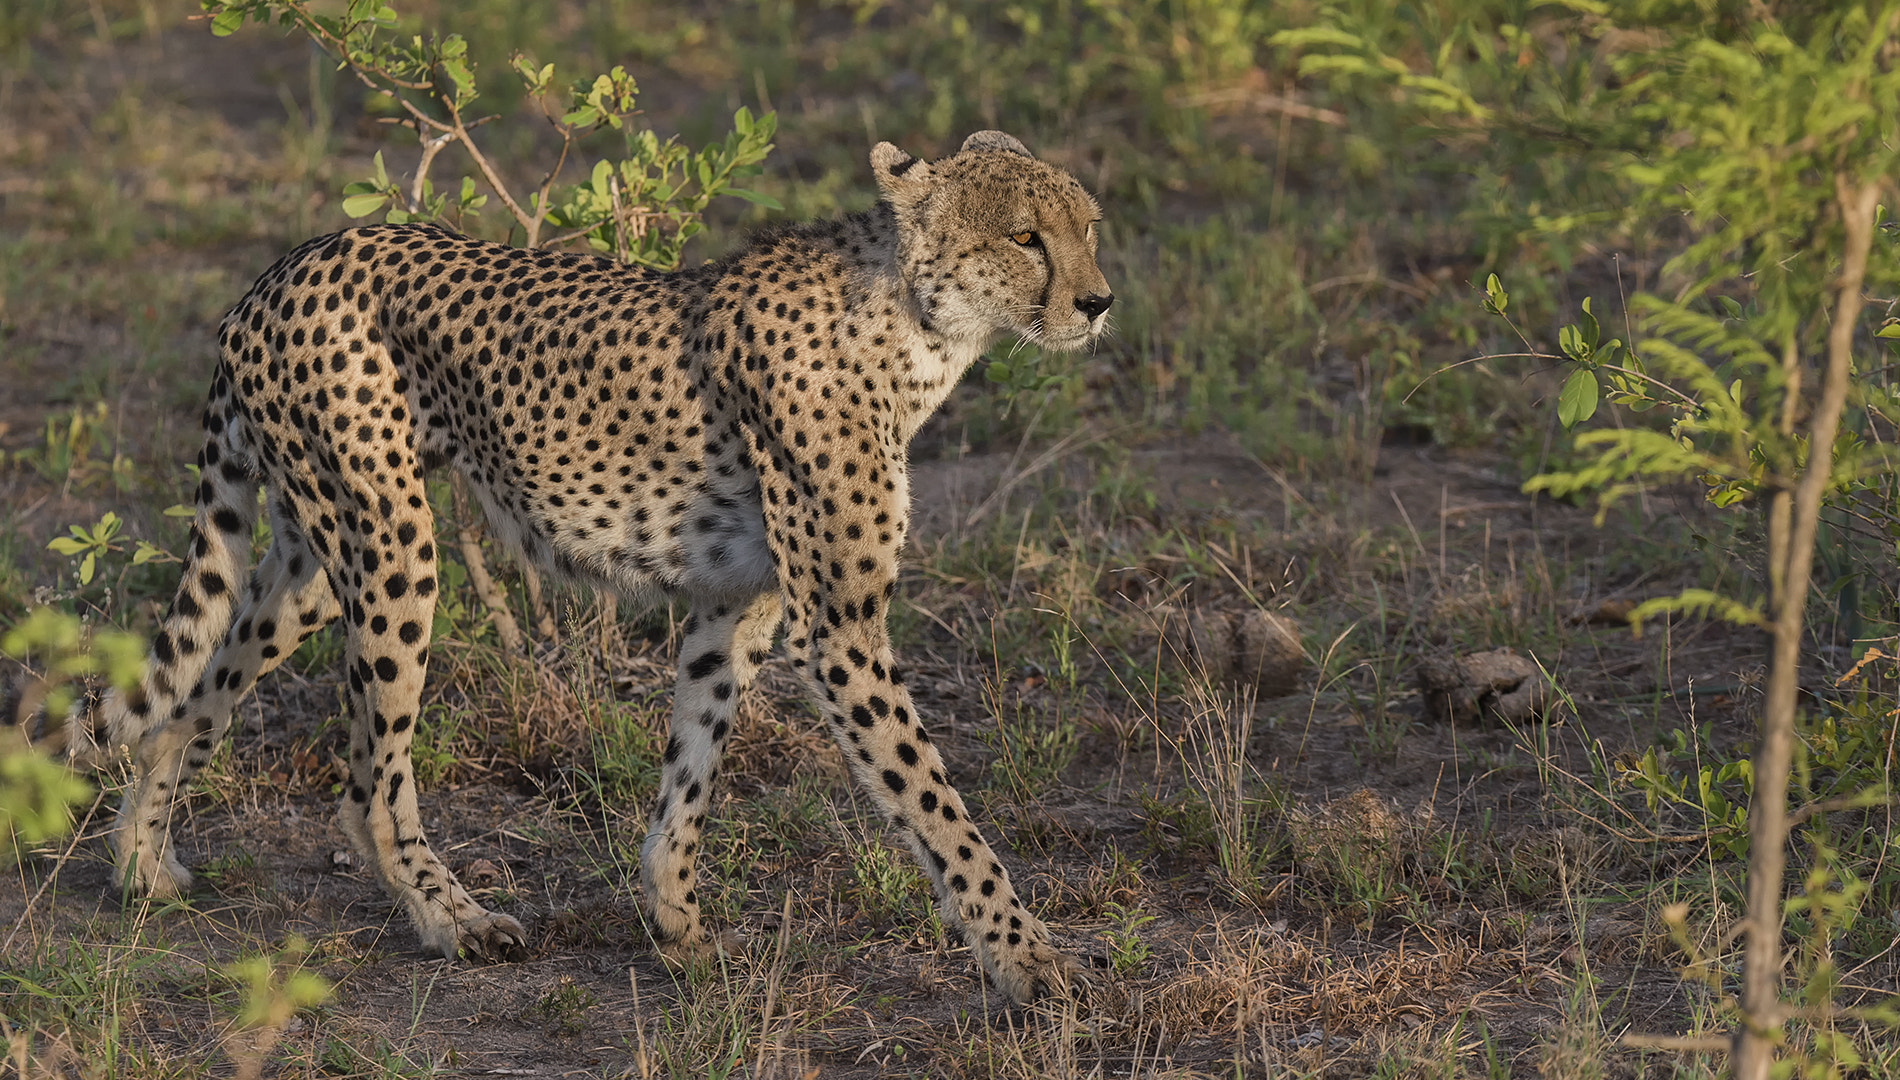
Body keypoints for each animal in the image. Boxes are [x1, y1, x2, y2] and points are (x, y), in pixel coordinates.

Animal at [94, 129, 1113, 1004]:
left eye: (1088, 226)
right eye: (1025, 236)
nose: (1098, 302)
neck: (913, 323)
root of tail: (287, 263)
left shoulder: (735, 602)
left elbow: (693, 764)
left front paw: (678, 925)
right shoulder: (838, 629)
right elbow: (935, 805)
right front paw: (1029, 961)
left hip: (315, 556)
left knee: (188, 704)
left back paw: (142, 866)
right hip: (393, 544)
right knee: (365, 789)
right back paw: (454, 919)